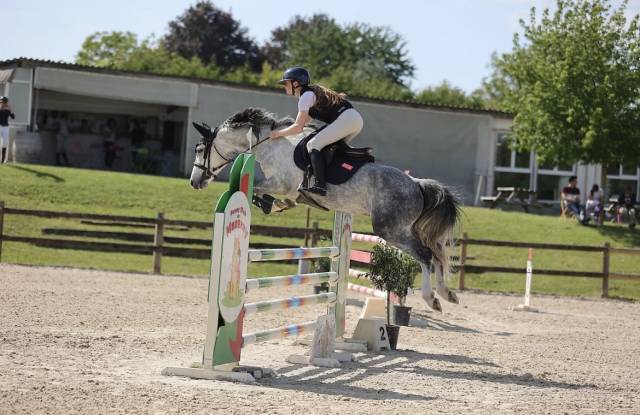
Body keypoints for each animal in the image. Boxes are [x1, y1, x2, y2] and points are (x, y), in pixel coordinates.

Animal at [189, 108, 461, 311]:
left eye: (200, 150)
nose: (194, 182)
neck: (268, 144)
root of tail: (416, 184)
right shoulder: (288, 190)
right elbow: (282, 199)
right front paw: (277, 205)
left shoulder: (281, 183)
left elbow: (255, 188)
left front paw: (269, 204)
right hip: (404, 228)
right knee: (437, 255)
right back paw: (447, 293)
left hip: (390, 230)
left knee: (426, 255)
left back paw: (432, 299)